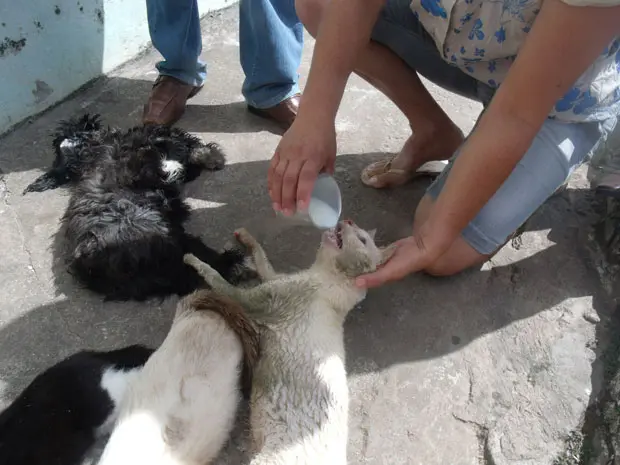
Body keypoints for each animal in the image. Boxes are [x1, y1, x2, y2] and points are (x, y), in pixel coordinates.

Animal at [184, 220, 394, 464]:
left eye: (362, 240)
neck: (327, 277)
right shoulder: (274, 279)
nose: (348, 220)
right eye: (360, 233)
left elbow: (219, 280)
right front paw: (246, 237)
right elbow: (261, 258)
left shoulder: (256, 301)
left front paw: (193, 260)